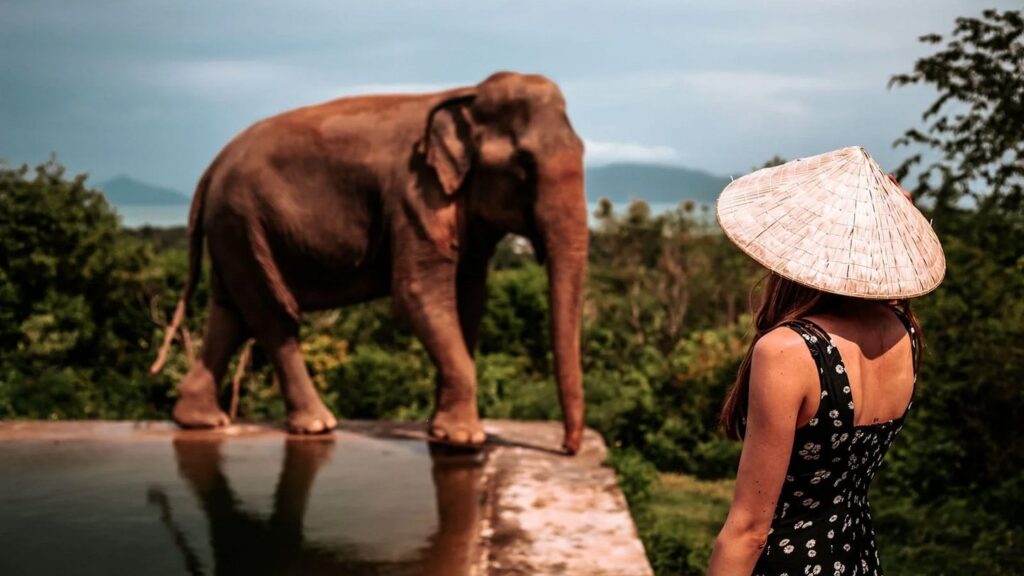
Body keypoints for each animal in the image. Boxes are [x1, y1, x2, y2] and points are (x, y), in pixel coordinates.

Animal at [151, 71, 588, 453]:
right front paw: (463, 438)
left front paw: (441, 428)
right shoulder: (414, 195)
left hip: (235, 231)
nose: (567, 448)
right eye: (524, 163)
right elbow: (417, 294)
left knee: (231, 312)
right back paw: (316, 425)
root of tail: (212, 167)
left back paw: (201, 420)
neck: (467, 95)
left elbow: (469, 299)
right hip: (243, 222)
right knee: (273, 314)